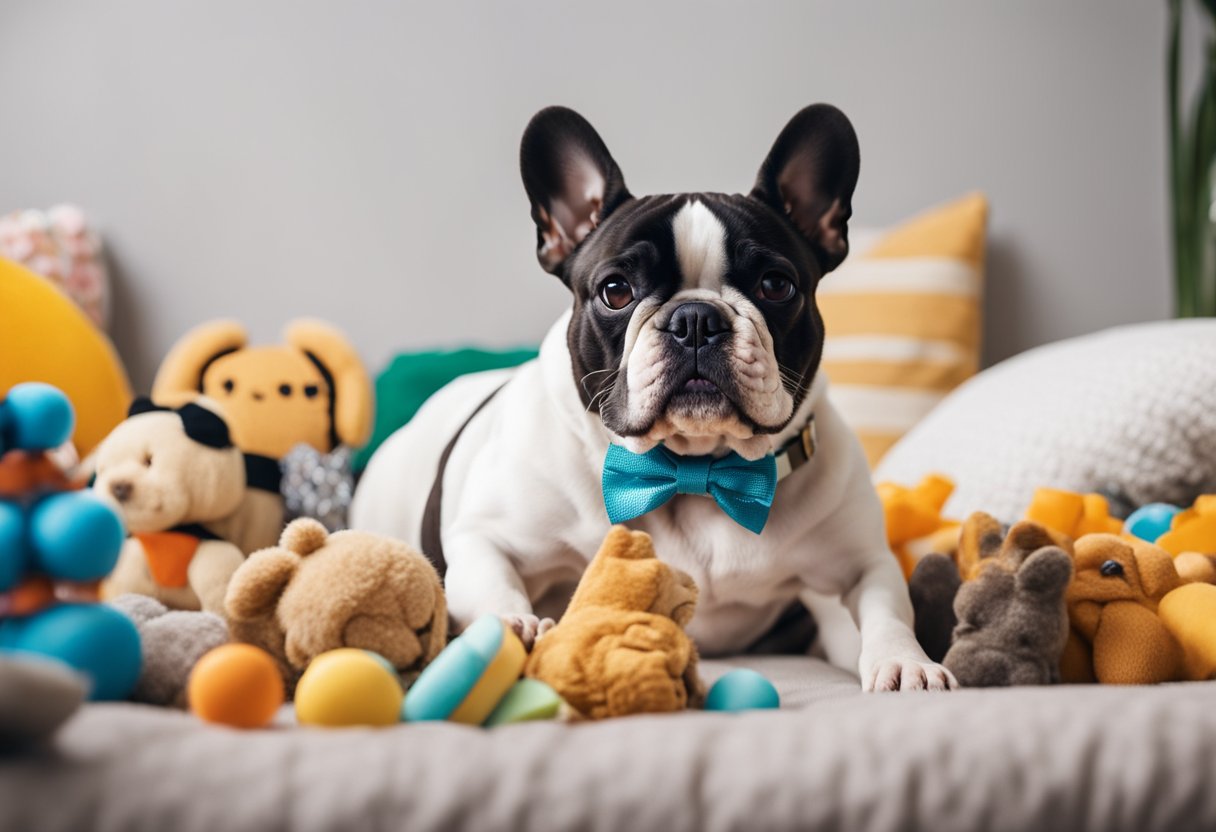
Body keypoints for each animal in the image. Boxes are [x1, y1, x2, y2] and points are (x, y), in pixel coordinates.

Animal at [352, 102, 958, 690]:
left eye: (776, 286)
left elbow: (887, 608)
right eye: (615, 291)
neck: (693, 470)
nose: (696, 319)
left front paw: (907, 662)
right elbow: (492, 580)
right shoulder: (488, 535)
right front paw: (513, 627)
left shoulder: (861, 560)